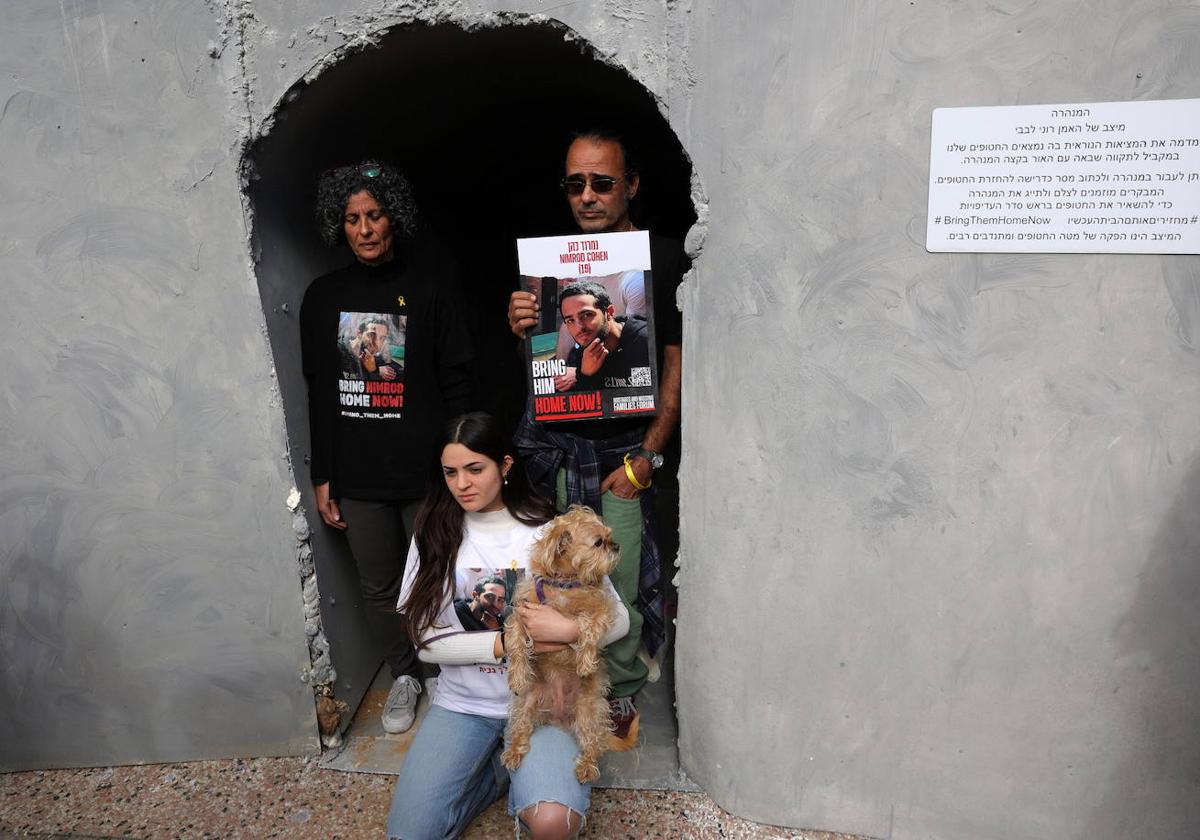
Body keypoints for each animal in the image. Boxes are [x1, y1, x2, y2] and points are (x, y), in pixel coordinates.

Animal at [504, 506, 624, 787]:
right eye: (599, 542)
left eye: (609, 537)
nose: (616, 545)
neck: (565, 584)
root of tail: (558, 717)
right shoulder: (521, 614)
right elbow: (515, 641)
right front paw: (517, 676)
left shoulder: (602, 608)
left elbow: (587, 627)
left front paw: (585, 662)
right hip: (525, 704)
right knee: (520, 728)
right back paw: (513, 752)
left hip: (589, 711)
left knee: (593, 744)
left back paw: (587, 768)